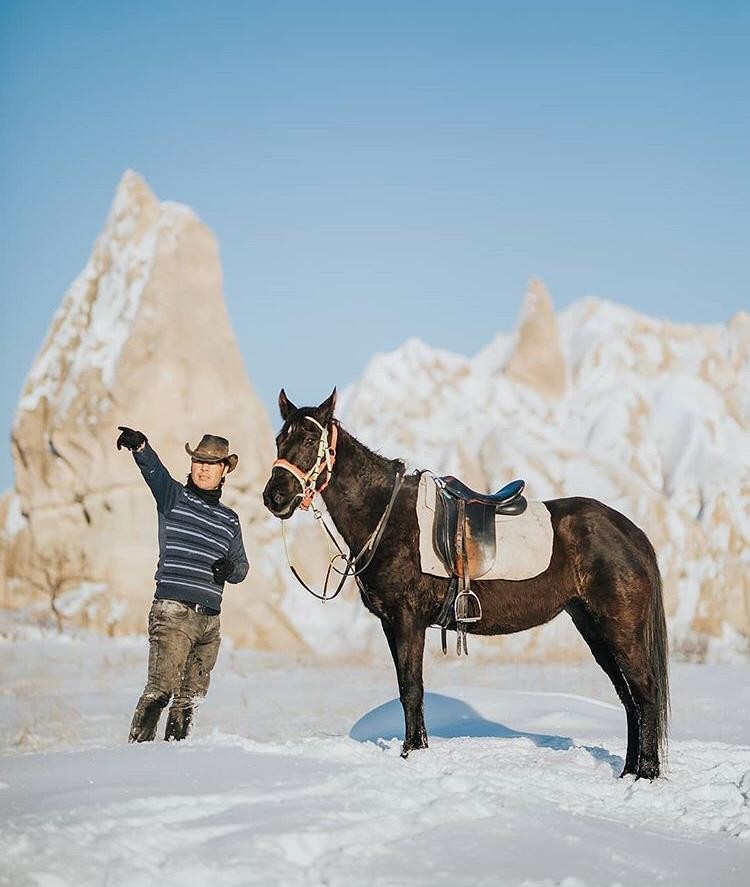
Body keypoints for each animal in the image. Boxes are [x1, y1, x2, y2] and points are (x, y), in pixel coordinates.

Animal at [262, 389, 669, 779]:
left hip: (620, 628)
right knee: (628, 696)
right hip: (592, 626)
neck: (387, 516)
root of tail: (628, 531)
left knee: (645, 691)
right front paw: (418, 749)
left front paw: (411, 752)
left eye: (311, 438)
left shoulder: (407, 620)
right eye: (280, 439)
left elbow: (411, 689)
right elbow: (407, 689)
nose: (274, 497)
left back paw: (646, 773)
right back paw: (628, 770)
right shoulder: (391, 624)